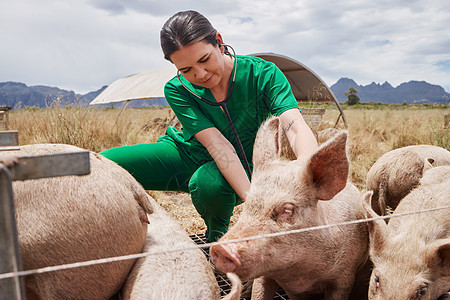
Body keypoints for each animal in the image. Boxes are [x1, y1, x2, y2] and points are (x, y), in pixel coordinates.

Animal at [210, 117, 370, 300]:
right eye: (248, 202)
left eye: (287, 210)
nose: (221, 248)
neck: (296, 277)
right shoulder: (266, 277)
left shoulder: (343, 278)